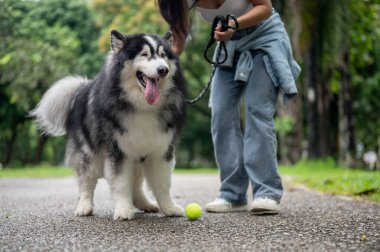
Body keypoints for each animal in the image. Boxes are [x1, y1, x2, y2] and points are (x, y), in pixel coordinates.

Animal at [31, 30, 187, 220]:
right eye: (144, 54)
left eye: (163, 55)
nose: (163, 70)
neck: (142, 106)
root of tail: (82, 89)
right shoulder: (118, 151)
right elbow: (121, 183)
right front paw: (123, 210)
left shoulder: (160, 151)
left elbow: (162, 184)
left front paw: (169, 208)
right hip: (90, 154)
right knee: (86, 182)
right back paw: (84, 207)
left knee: (136, 183)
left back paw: (145, 203)